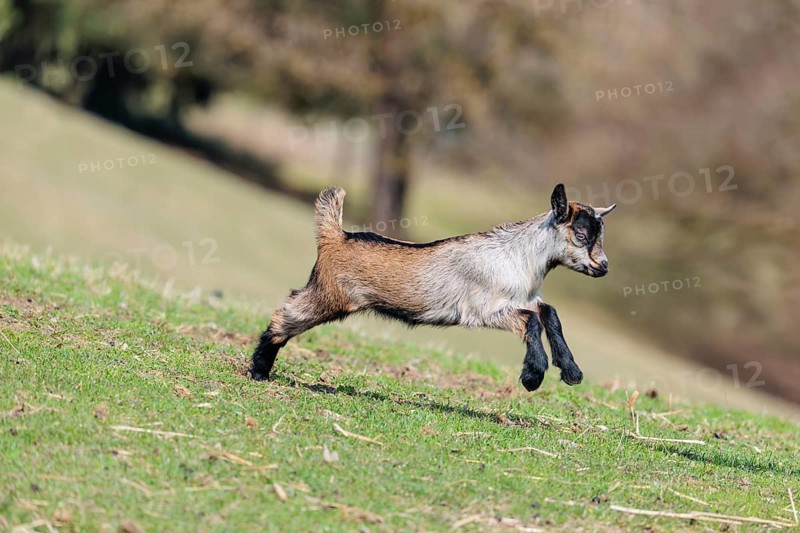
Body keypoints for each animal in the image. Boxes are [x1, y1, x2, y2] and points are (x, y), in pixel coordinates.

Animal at [250, 184, 616, 391]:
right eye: (581, 235)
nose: (603, 267)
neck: (520, 258)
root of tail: (336, 236)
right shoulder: (484, 309)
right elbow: (531, 321)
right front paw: (532, 377)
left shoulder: (526, 298)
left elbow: (549, 313)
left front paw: (571, 371)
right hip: (329, 295)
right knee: (286, 313)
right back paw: (258, 371)